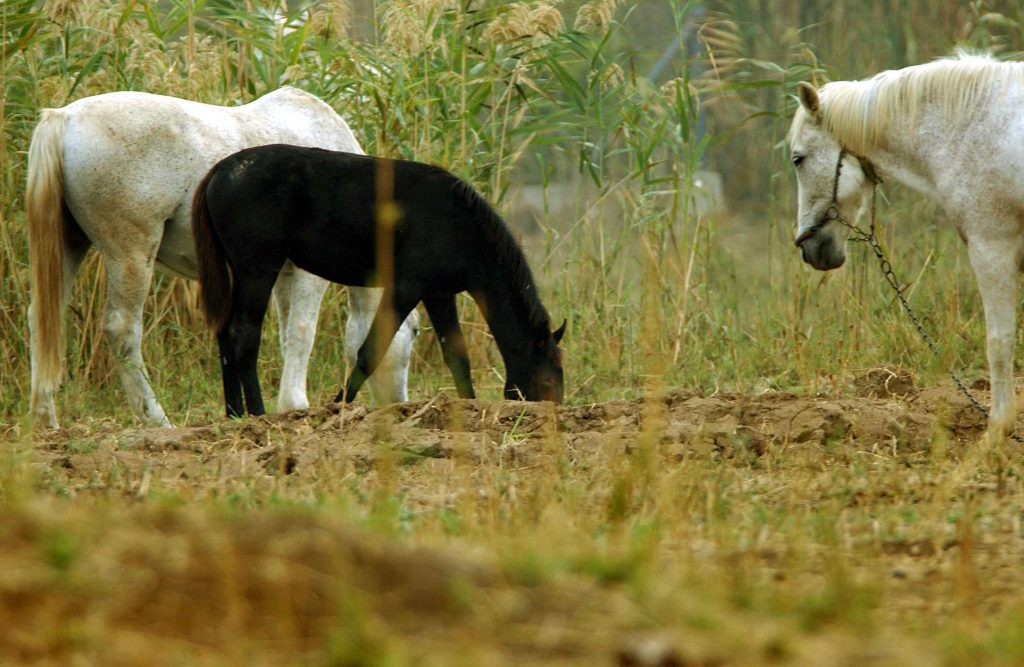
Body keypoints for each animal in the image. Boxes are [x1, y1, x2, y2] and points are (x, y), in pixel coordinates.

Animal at [28, 88, 419, 428]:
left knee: (42, 318)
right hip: (131, 255)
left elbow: (284, 334)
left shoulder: (283, 275)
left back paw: (46, 421)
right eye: (413, 331)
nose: (400, 404)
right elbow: (301, 332)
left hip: (69, 246)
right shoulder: (308, 276)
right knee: (121, 329)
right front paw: (295, 405)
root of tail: (65, 117)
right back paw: (157, 419)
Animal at [192, 144, 569, 418]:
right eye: (547, 378)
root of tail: (220, 171)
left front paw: (468, 406)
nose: (552, 411)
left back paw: (234, 413)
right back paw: (256, 413)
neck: (459, 224)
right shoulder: (406, 287)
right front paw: (339, 406)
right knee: (243, 336)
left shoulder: (438, 293)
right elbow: (369, 352)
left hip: (239, 274)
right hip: (257, 271)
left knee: (226, 335)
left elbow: (457, 356)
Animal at [786, 53, 1024, 438]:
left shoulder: (992, 250)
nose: (809, 247)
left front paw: (997, 431)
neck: (974, 126)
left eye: (798, 159)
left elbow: (999, 342)